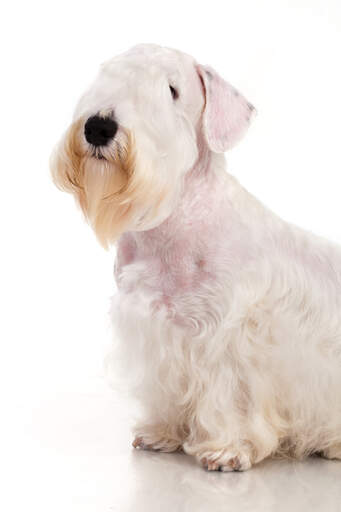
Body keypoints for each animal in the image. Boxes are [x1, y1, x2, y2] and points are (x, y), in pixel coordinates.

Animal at [49, 44, 340, 472]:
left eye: (171, 90)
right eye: (110, 75)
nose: (99, 127)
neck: (171, 224)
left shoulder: (233, 334)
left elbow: (235, 395)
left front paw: (228, 450)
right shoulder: (156, 327)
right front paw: (161, 433)